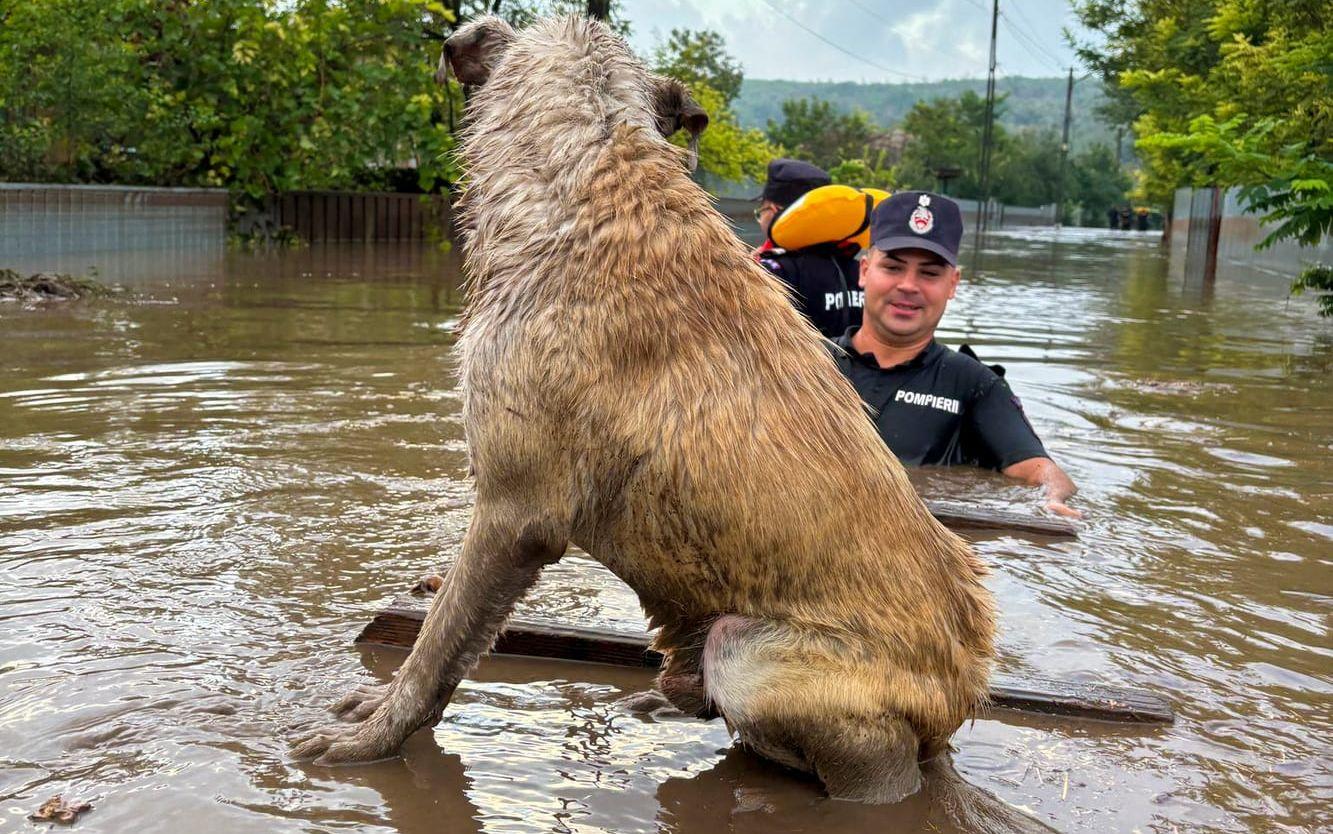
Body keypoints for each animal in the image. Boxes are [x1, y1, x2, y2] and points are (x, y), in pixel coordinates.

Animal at [297, 16, 997, 804]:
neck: (592, 173)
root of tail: (961, 696)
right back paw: (662, 702)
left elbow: (437, 646)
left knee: (873, 763)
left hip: (751, 655)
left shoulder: (515, 513)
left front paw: (373, 737)